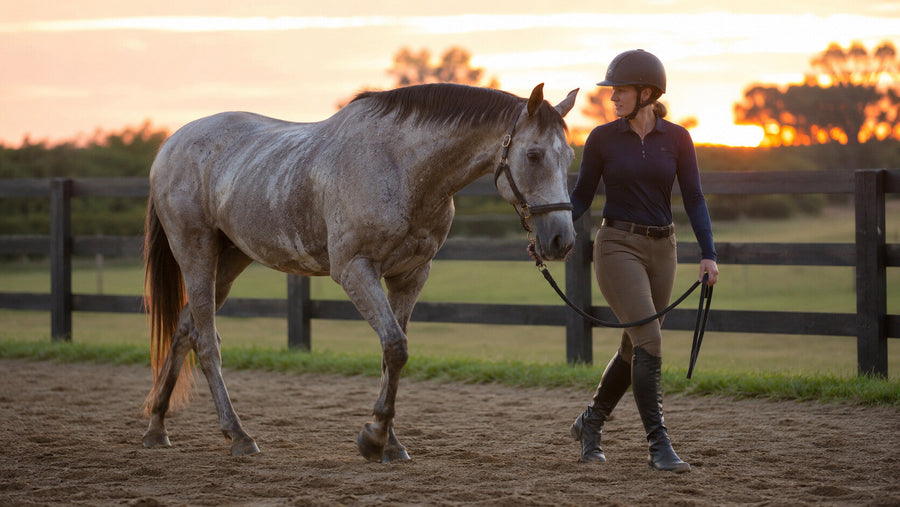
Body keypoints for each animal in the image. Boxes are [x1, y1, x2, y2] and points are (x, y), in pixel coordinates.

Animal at [141, 82, 579, 462]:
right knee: (206, 343)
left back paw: (157, 427)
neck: (401, 166)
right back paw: (238, 436)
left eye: (570, 158)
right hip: (196, 252)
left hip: (231, 260)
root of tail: (171, 145)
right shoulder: (354, 270)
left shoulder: (410, 276)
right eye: (534, 154)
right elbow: (396, 346)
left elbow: (391, 355)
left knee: (184, 330)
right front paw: (374, 438)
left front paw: (389, 442)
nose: (561, 240)